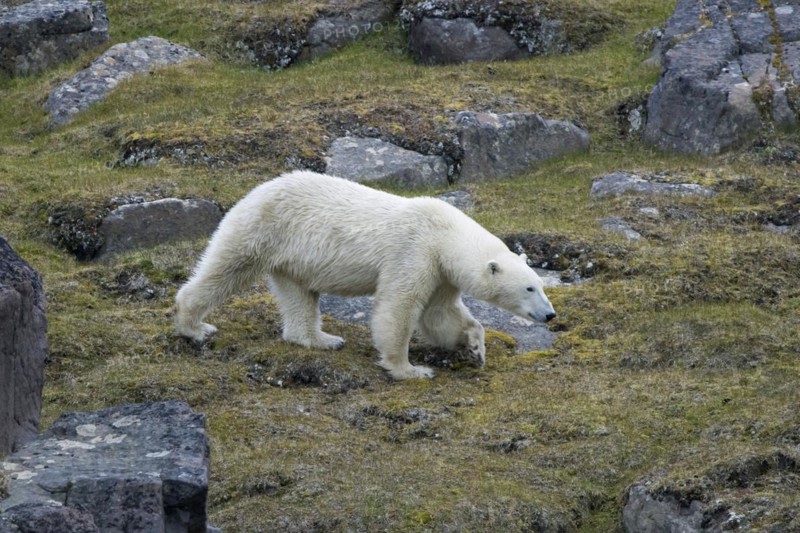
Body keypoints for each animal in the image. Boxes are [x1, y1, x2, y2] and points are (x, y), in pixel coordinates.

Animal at [175, 170, 556, 380]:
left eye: (540, 285)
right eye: (529, 288)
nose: (550, 315)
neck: (444, 234)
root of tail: (256, 191)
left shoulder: (441, 273)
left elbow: (440, 314)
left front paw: (476, 346)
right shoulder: (414, 252)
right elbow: (399, 307)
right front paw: (410, 370)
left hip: (292, 257)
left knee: (298, 295)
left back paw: (322, 339)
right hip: (263, 231)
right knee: (225, 268)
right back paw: (194, 325)